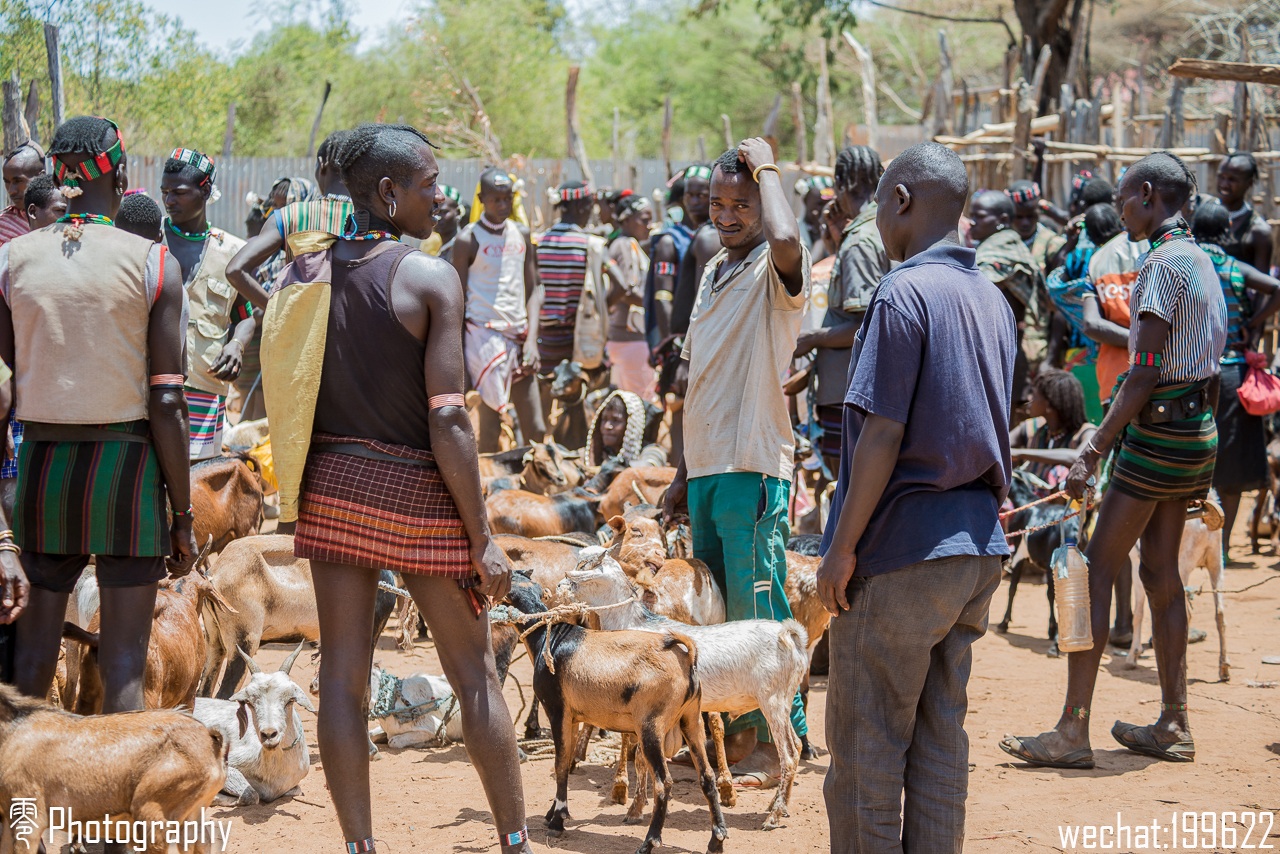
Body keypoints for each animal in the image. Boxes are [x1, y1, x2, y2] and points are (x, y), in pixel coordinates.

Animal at [555, 550, 803, 829]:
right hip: (783, 700)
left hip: (772, 700)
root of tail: (788, 633)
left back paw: (774, 815)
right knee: (797, 746)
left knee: (789, 754)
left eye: (582, 566)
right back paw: (777, 806)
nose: (558, 587)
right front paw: (639, 805)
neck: (631, 623)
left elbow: (640, 758)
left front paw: (635, 809)